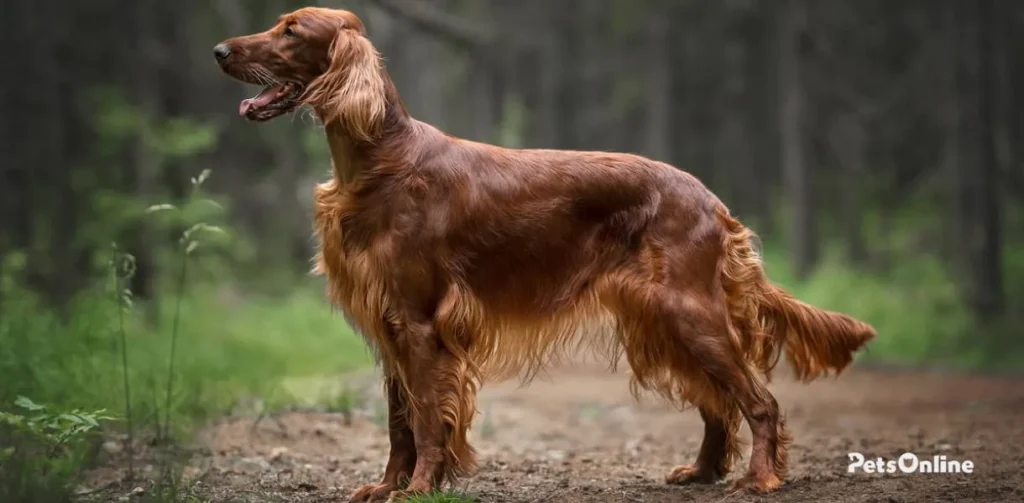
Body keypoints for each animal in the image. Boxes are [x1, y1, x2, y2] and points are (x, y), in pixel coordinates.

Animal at [211, 5, 876, 501]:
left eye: (291, 30)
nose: (219, 50)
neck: (378, 160)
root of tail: (712, 200)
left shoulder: (421, 324)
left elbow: (425, 418)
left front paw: (421, 486)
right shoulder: (390, 322)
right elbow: (400, 421)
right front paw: (387, 485)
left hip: (688, 311)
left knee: (758, 401)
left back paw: (761, 477)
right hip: (663, 319)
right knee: (719, 403)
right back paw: (704, 471)